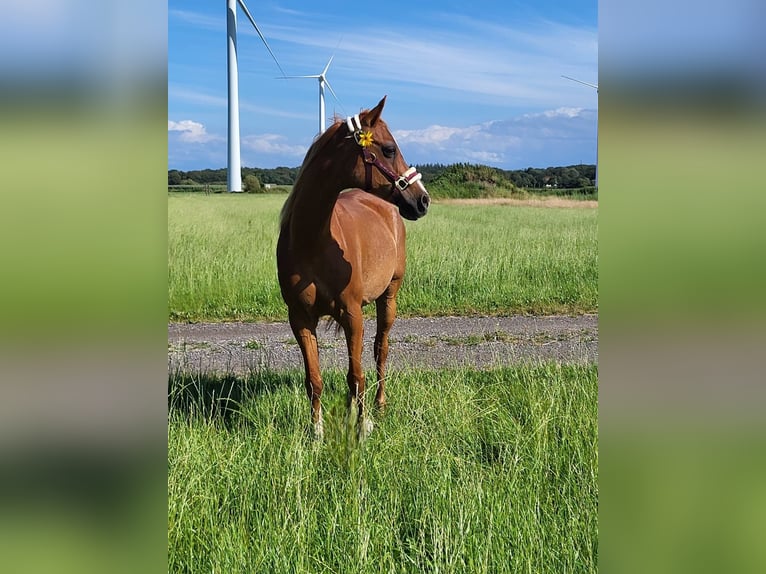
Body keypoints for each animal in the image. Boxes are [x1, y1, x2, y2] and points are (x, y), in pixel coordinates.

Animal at [278, 98, 432, 440]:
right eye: (389, 149)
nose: (423, 200)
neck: (312, 241)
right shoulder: (300, 319)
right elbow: (315, 379)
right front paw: (317, 434)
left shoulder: (352, 313)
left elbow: (357, 375)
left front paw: (363, 428)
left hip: (388, 298)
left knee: (379, 351)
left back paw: (378, 405)